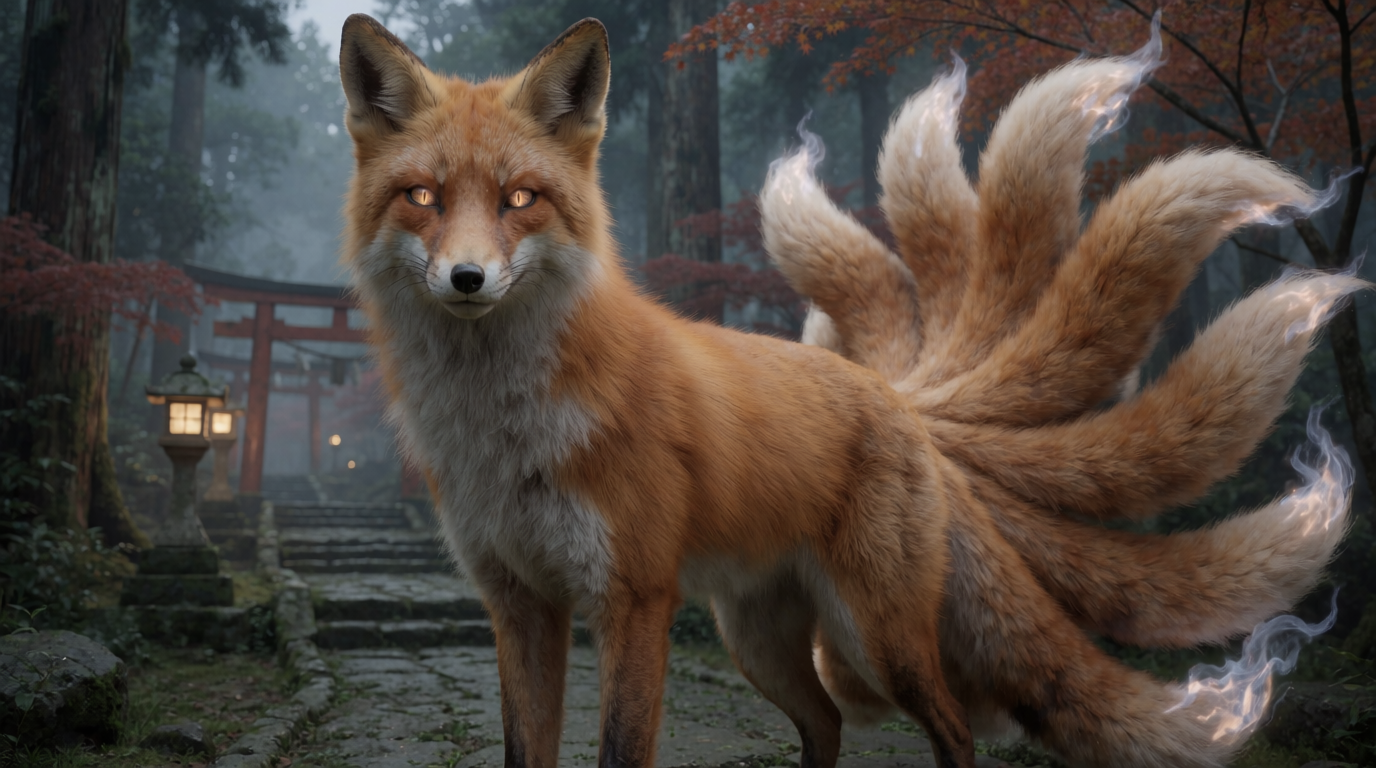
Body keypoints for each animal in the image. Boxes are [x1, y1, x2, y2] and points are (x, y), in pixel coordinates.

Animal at [338, 14, 981, 768]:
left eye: (519, 198)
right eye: (422, 196)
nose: (467, 278)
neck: (504, 433)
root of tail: (891, 389)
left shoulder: (635, 596)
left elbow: (620, 745)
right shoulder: (519, 600)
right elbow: (524, 747)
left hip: (877, 636)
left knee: (955, 724)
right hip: (755, 643)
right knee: (826, 722)